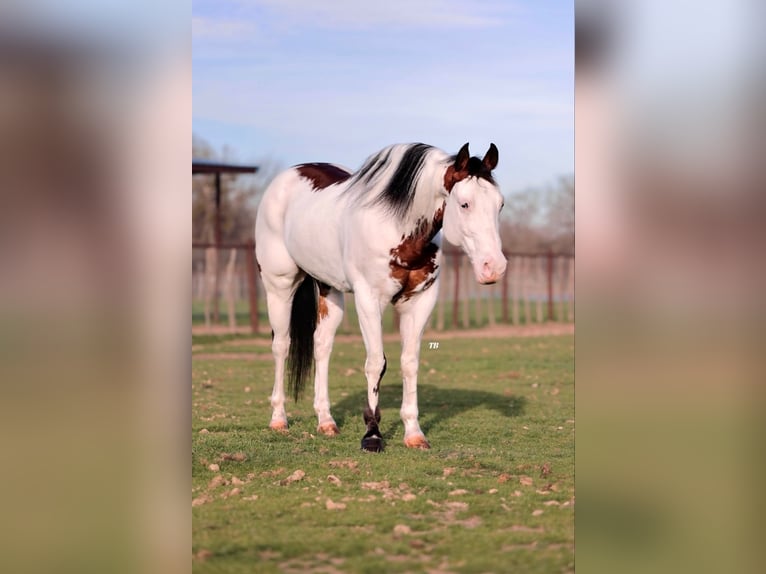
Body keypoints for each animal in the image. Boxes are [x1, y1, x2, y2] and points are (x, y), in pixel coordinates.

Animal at [258, 142, 510, 452]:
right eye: (464, 204)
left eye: (500, 204)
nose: (494, 267)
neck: (398, 227)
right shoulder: (369, 300)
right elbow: (376, 363)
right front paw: (373, 434)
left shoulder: (420, 302)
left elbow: (409, 363)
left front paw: (414, 432)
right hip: (279, 287)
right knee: (281, 346)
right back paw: (279, 418)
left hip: (331, 290)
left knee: (322, 345)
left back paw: (326, 421)